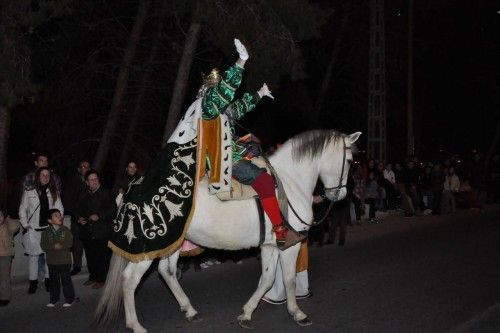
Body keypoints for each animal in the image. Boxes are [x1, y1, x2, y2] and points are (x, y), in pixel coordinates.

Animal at [94, 128, 360, 330]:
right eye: (349, 161)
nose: (340, 195)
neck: (290, 182)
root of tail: (132, 187)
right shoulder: (290, 246)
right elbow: (289, 279)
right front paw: (297, 313)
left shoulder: (271, 245)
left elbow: (267, 279)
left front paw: (247, 313)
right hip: (149, 248)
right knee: (130, 280)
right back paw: (135, 325)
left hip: (173, 243)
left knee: (166, 271)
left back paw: (189, 310)